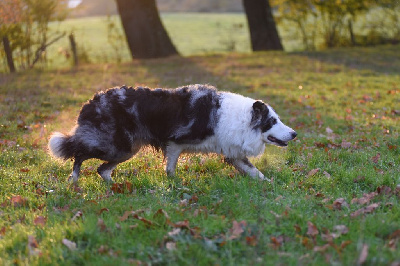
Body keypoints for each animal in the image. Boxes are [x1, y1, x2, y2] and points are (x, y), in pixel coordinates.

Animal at [48, 84, 296, 183]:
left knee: (101, 169)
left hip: (126, 149)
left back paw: (115, 185)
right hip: (115, 145)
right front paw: (175, 182)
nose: (294, 134)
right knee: (78, 153)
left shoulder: (233, 153)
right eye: (272, 121)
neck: (241, 119)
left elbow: (256, 172)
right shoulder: (175, 141)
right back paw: (74, 179)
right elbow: (170, 167)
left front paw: (271, 185)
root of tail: (90, 103)